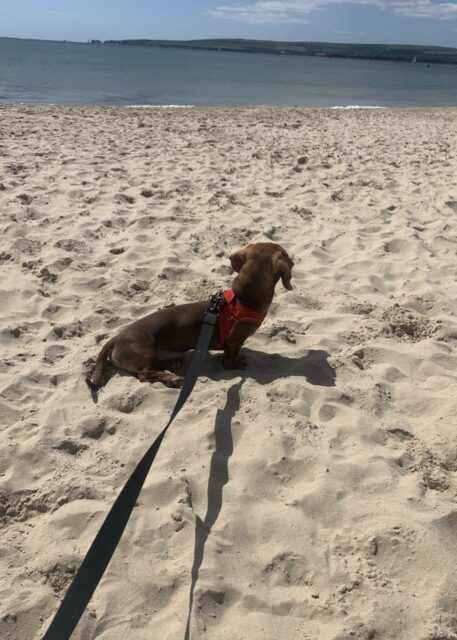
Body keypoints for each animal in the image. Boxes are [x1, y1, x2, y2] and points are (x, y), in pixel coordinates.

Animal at [85, 241, 292, 388]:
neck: (242, 299)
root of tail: (116, 338)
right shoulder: (234, 343)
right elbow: (230, 360)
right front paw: (237, 364)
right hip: (145, 352)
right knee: (144, 374)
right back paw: (171, 378)